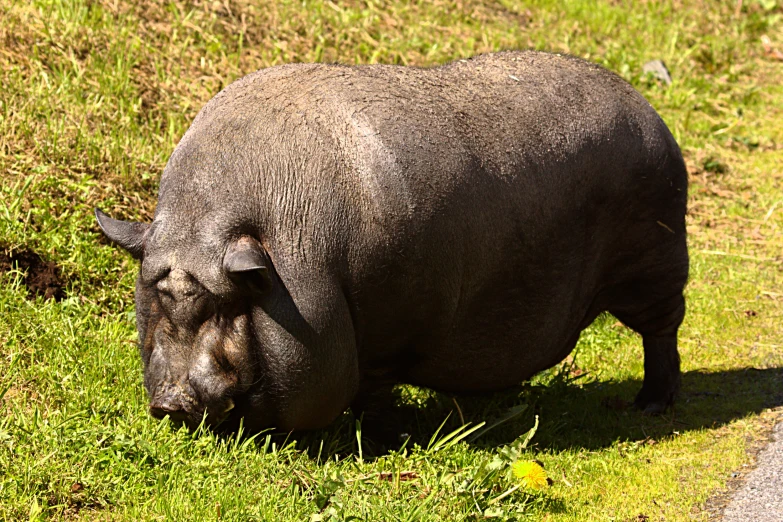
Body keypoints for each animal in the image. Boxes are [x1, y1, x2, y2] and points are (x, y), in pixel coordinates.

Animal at [96, 49, 688, 430]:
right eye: (158, 298)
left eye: (222, 306)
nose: (170, 401)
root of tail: (652, 115)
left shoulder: (390, 325)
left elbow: (374, 386)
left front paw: (378, 435)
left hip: (656, 263)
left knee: (662, 332)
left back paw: (650, 407)